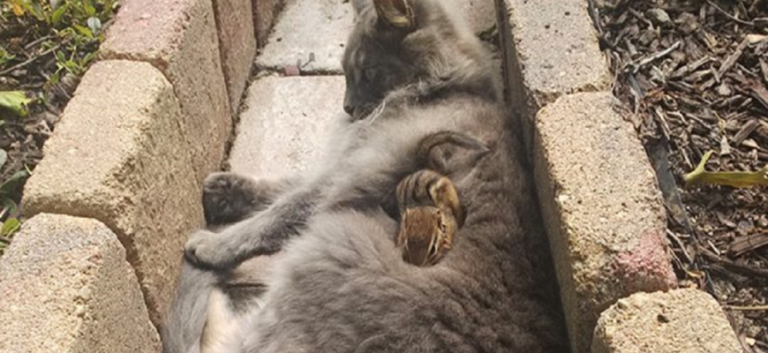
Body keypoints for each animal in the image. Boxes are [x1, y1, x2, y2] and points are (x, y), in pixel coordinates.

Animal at [164, 0, 568, 350]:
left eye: (368, 72)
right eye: (343, 73)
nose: (347, 107)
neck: (442, 88)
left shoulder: (351, 173)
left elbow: (278, 212)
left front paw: (216, 244)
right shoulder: (340, 164)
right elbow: (283, 186)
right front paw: (225, 190)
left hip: (326, 250)